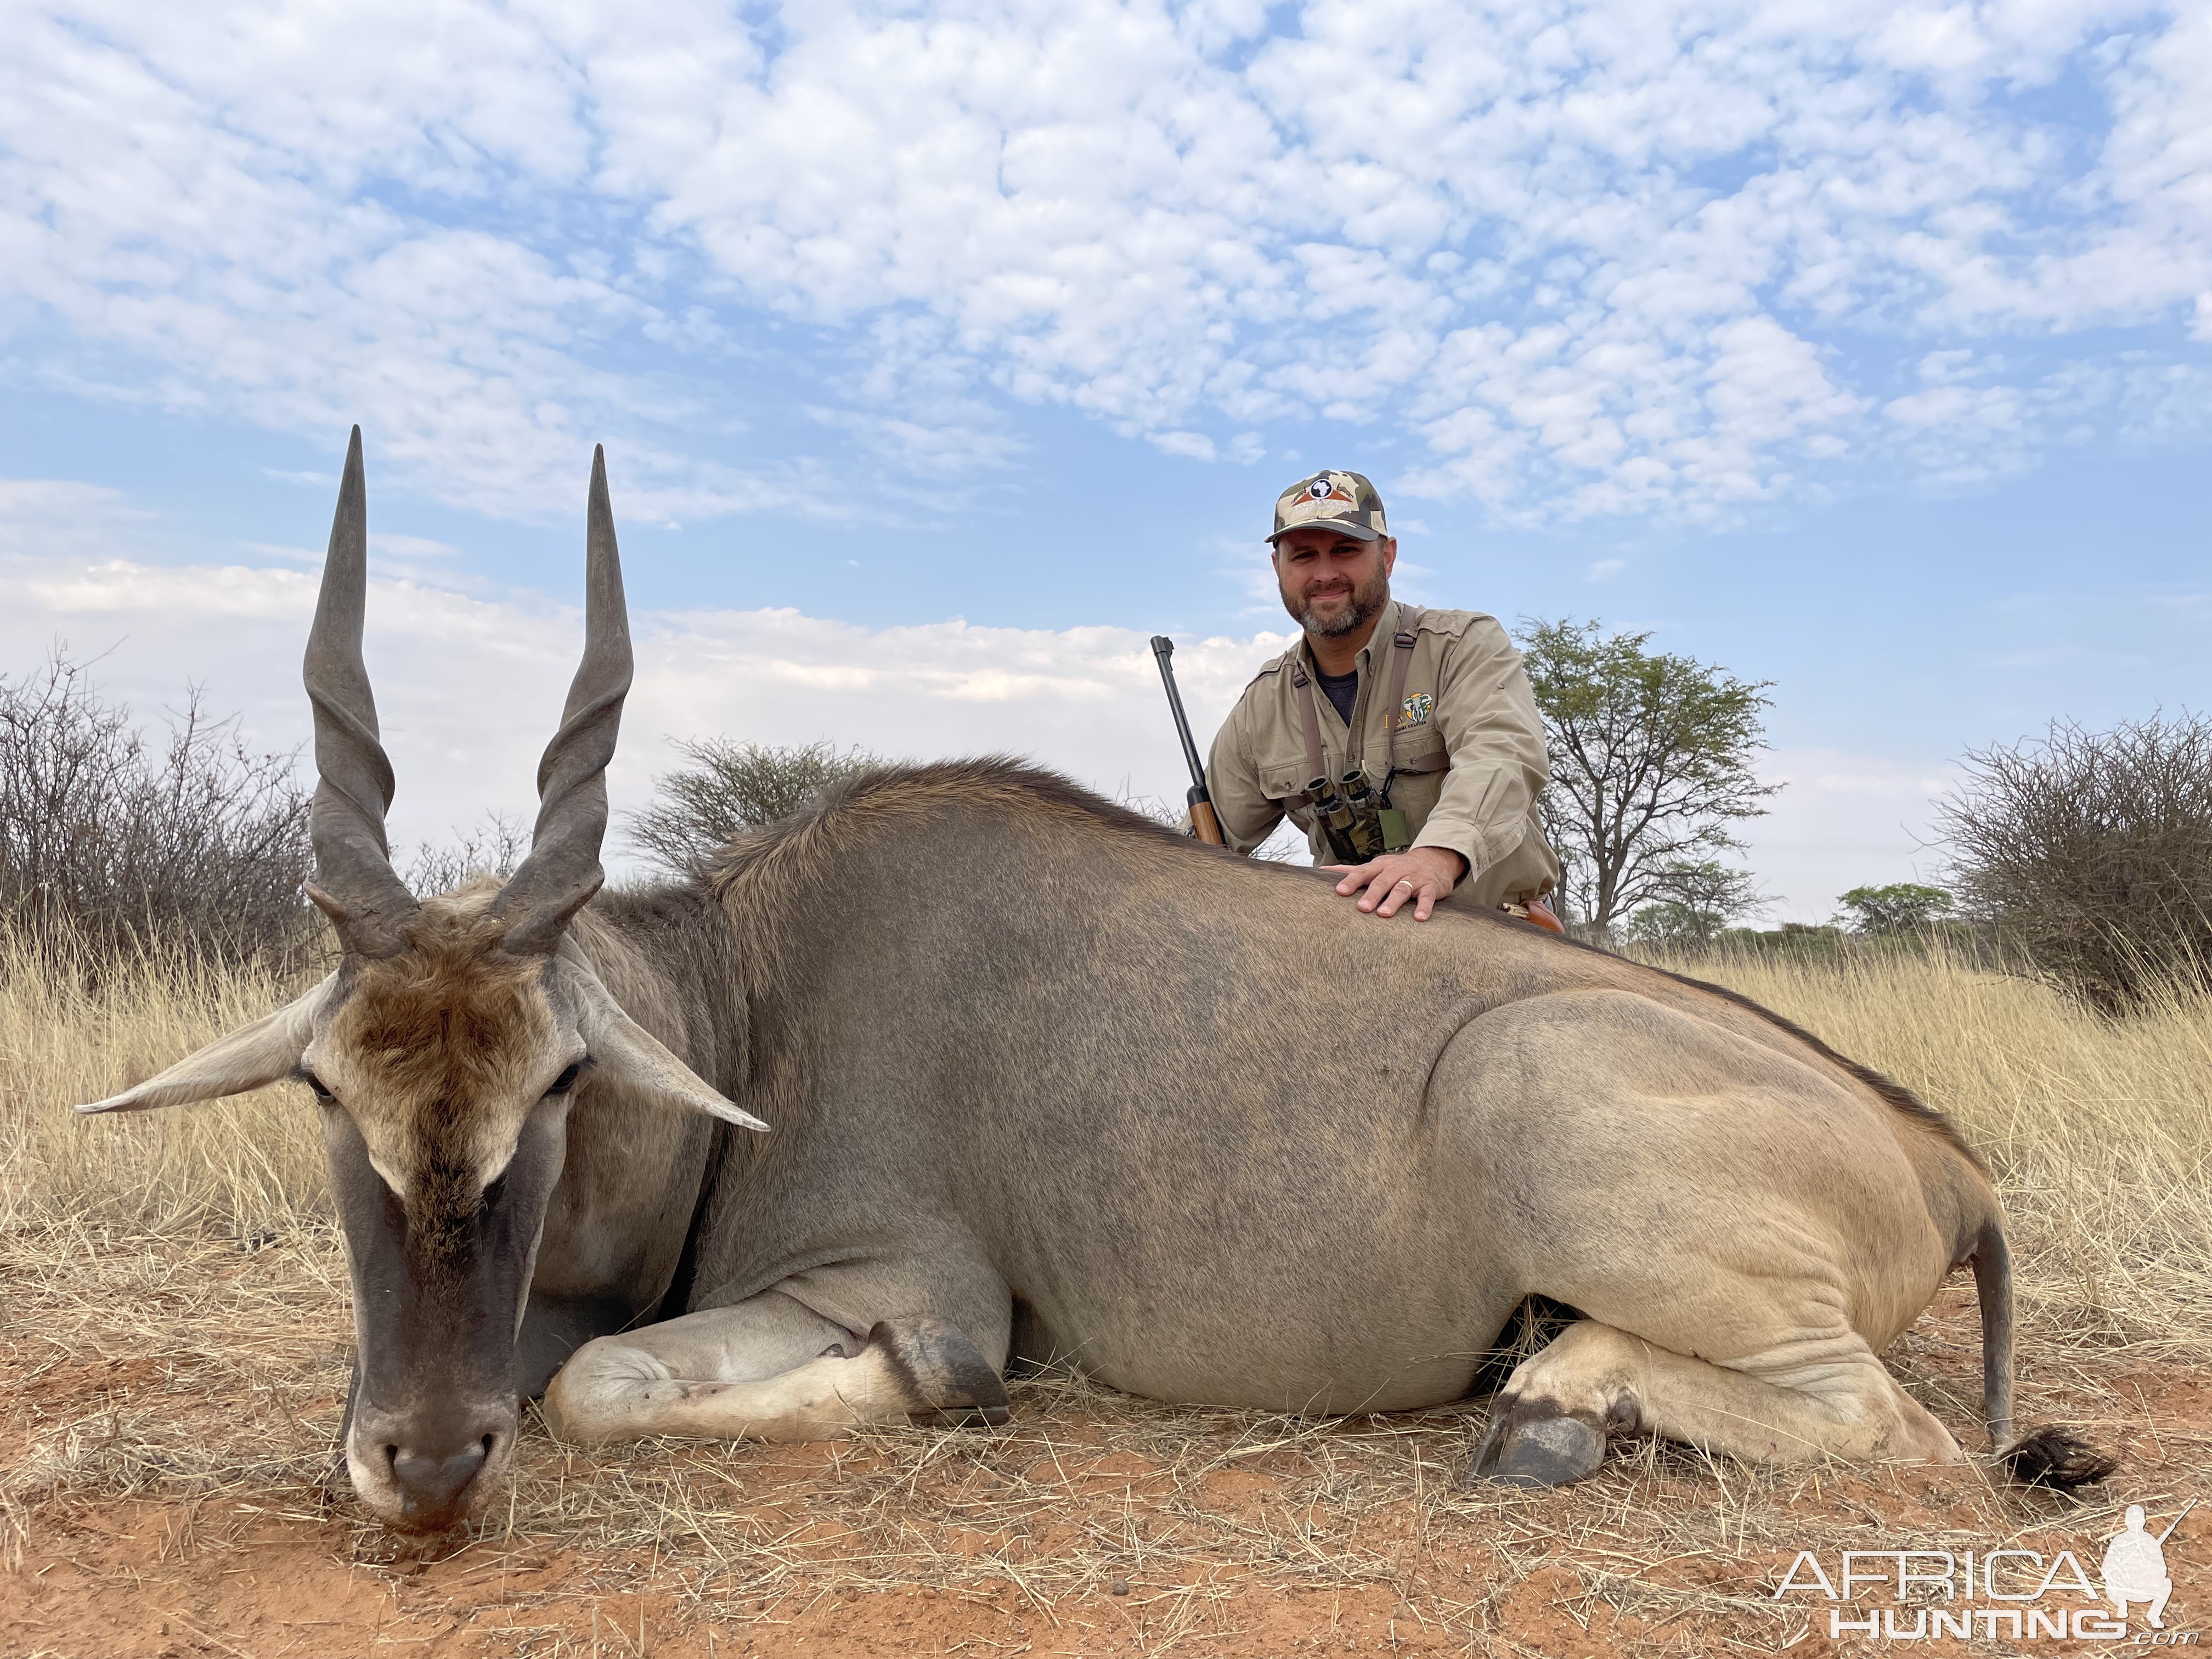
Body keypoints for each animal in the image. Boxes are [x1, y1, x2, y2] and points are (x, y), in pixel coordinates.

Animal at [82, 429, 2106, 1531]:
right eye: (329, 1087)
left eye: (560, 1082)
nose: (418, 1462)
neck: (751, 998)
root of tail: (1948, 1161)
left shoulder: (906, 1283)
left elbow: (615, 1384)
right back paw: (1552, 1395)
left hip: (1535, 1095)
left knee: (1896, 1431)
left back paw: (1557, 1407)